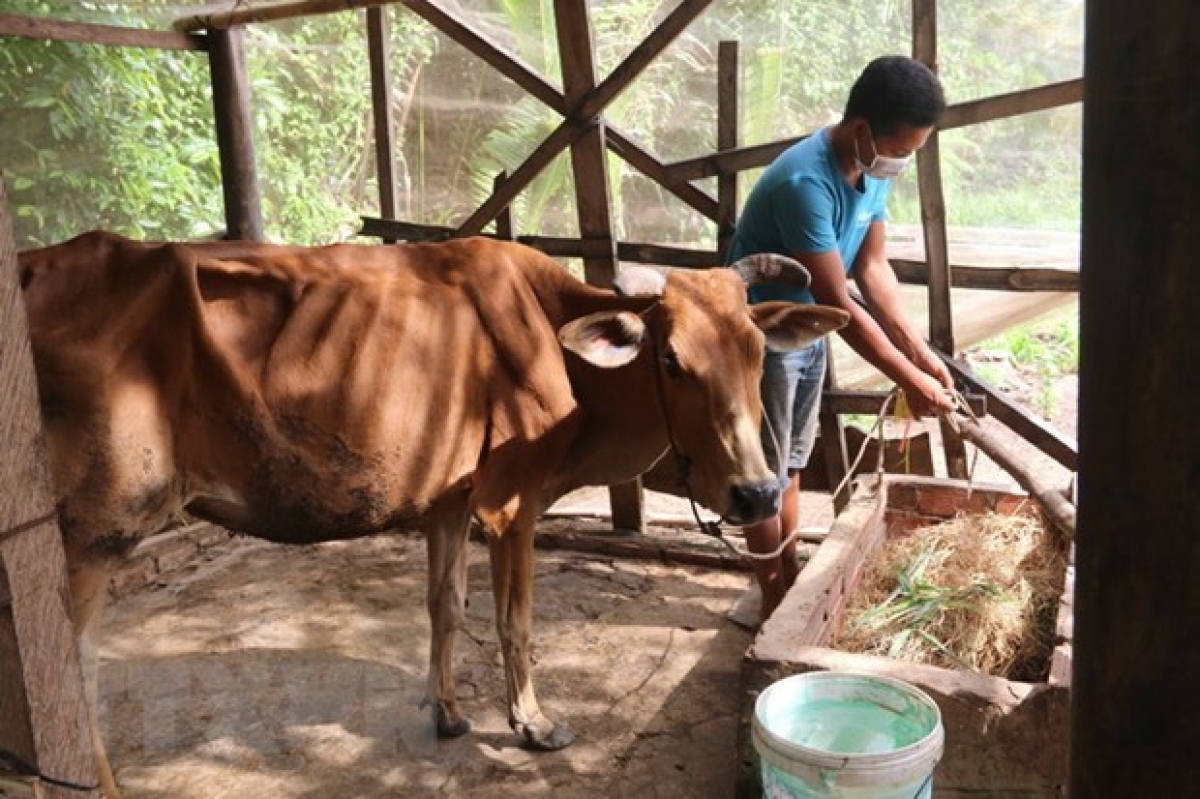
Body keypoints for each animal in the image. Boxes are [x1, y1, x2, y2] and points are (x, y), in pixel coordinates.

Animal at [16, 229, 844, 791]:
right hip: (91, 532)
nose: (756, 491)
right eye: (672, 359)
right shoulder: (512, 503)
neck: (563, 349)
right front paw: (534, 722)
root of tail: (34, 262)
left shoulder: (449, 500)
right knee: (69, 672)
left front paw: (448, 712)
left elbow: (446, 604)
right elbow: (515, 621)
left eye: (755, 353)